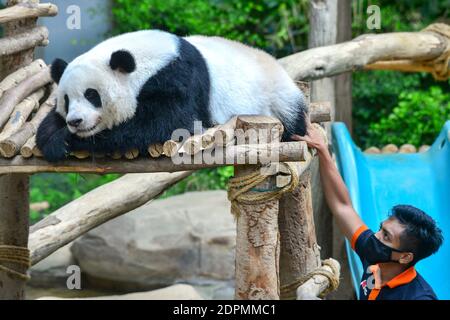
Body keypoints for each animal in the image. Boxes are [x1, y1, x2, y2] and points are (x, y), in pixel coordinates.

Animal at [37, 29, 308, 162]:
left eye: (92, 95)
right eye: (66, 100)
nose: (75, 121)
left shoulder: (177, 77)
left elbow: (164, 122)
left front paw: (65, 139)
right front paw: (51, 137)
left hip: (277, 96)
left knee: (293, 118)